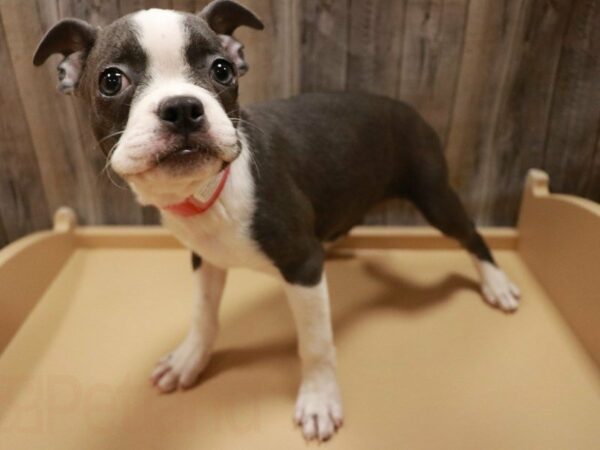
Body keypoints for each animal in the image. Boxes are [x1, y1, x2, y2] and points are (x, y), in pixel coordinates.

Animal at [34, 0, 520, 442]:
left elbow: (316, 343)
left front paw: (320, 400)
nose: (182, 107)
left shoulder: (302, 265)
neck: (206, 193)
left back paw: (496, 284)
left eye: (222, 70)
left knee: (471, 234)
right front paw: (191, 358)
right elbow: (203, 314)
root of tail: (406, 107)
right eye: (111, 80)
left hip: (433, 195)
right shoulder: (205, 259)